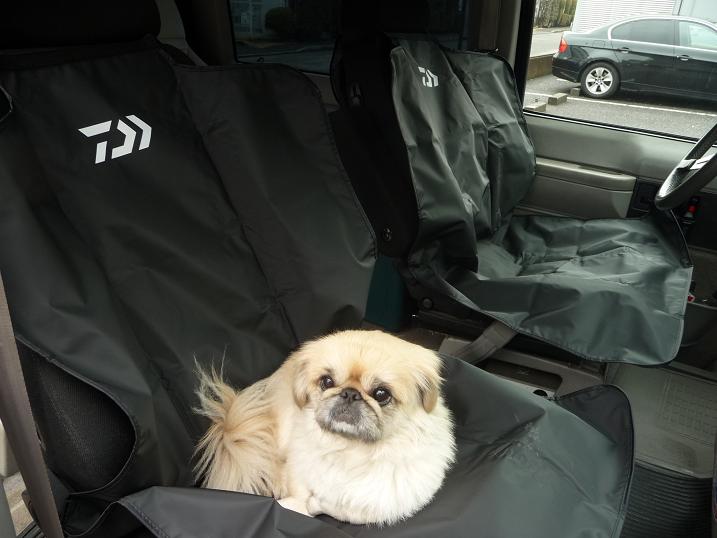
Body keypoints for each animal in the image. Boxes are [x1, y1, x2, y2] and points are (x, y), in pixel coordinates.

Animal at [194, 330, 455, 526]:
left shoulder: (377, 505)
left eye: (381, 394)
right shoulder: (297, 470)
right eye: (327, 382)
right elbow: (298, 494)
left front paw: (315, 504)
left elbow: (340, 508)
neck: (348, 450)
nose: (349, 394)